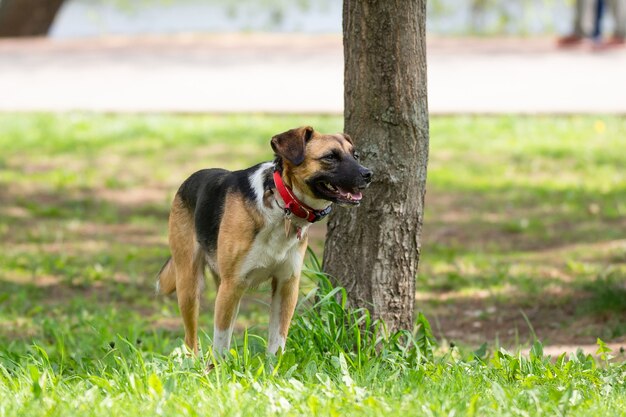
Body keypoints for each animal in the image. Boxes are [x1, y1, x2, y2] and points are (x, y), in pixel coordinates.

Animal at [156, 126, 370, 354]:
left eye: (355, 156)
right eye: (330, 157)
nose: (369, 174)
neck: (282, 203)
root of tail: (189, 179)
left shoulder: (286, 285)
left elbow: (277, 344)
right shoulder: (232, 284)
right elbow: (221, 346)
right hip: (190, 285)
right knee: (191, 340)